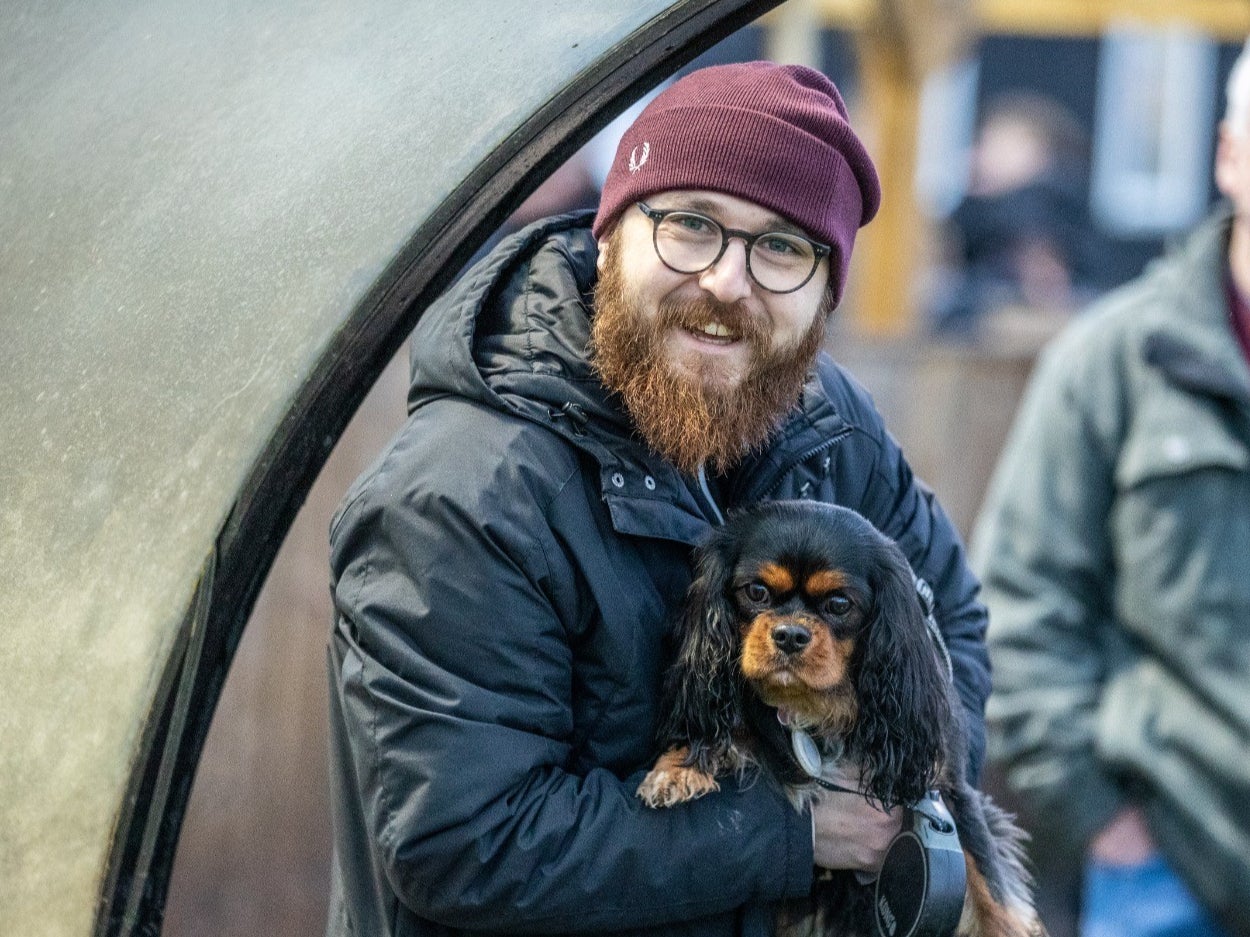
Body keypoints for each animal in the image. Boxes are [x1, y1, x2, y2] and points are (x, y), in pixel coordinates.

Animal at [640, 502, 1040, 937]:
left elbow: (992, 891)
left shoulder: (945, 794)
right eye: (757, 592)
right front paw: (677, 767)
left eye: (838, 604)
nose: (790, 634)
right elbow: (722, 727)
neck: (815, 706)